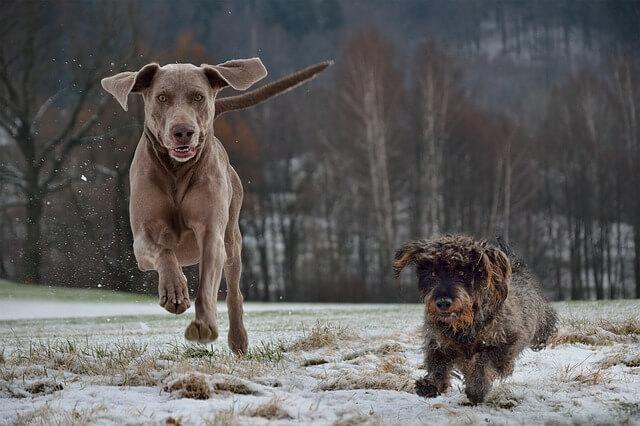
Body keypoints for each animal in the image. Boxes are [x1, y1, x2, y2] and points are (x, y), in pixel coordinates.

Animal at [392, 235, 556, 404]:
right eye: (432, 273)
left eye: (461, 273)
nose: (443, 302)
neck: (464, 322)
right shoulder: (438, 341)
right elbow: (438, 362)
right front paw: (430, 384)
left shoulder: (506, 342)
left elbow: (484, 361)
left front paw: (476, 388)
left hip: (540, 317)